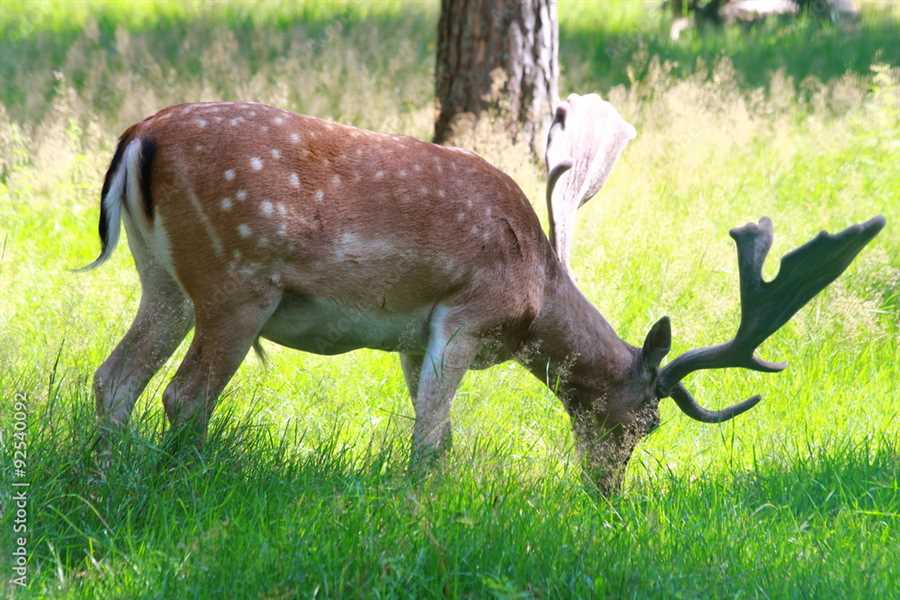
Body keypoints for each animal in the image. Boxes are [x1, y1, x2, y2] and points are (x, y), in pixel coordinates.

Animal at [81, 93, 885, 494]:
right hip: (237, 280)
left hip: (162, 279)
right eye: (647, 421)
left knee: (115, 377)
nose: (607, 493)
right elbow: (434, 435)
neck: (534, 294)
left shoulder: (411, 337)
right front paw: (421, 503)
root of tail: (138, 136)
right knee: (184, 394)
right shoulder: (465, 314)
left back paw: (109, 480)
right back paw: (177, 484)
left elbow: (427, 421)